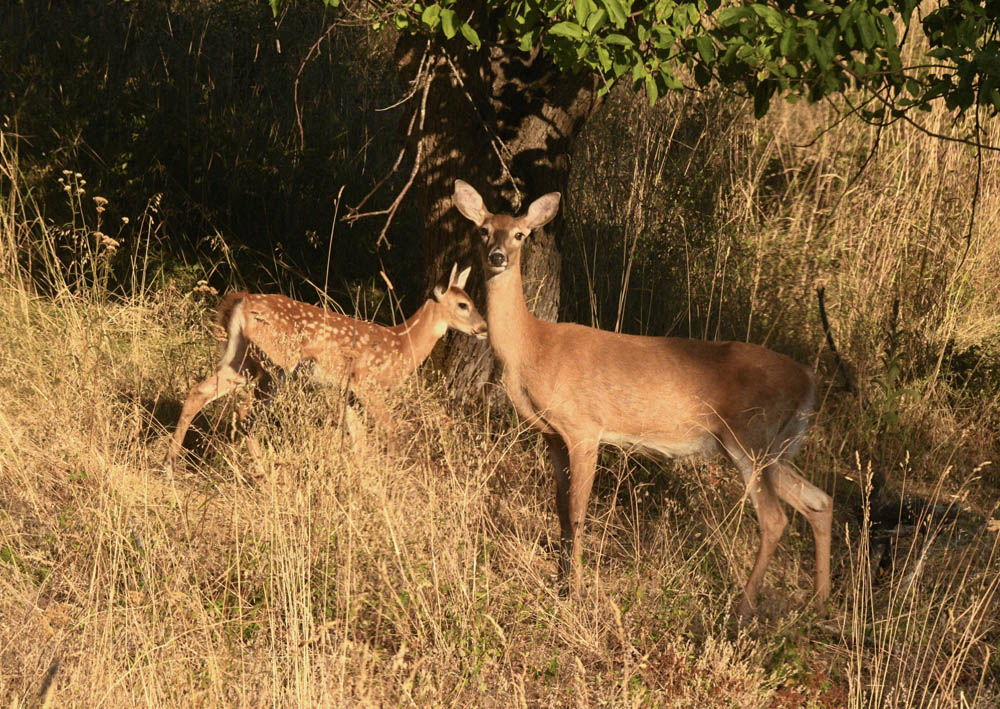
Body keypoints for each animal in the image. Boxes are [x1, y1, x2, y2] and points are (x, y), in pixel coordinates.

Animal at [163, 264, 487, 471]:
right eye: (463, 305)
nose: (484, 328)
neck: (403, 345)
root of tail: (243, 300)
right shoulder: (366, 382)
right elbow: (391, 428)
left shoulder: (346, 392)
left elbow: (359, 439)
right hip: (278, 364)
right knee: (243, 413)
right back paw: (265, 474)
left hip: (242, 361)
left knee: (198, 392)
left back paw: (170, 464)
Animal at [453, 180, 832, 618]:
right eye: (484, 230)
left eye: (520, 234)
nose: (498, 257)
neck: (533, 348)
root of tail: (808, 380)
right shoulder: (552, 436)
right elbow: (561, 510)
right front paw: (562, 583)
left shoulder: (584, 427)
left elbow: (577, 513)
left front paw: (576, 592)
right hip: (775, 448)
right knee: (819, 500)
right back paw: (819, 602)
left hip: (750, 437)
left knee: (775, 518)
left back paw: (742, 608)